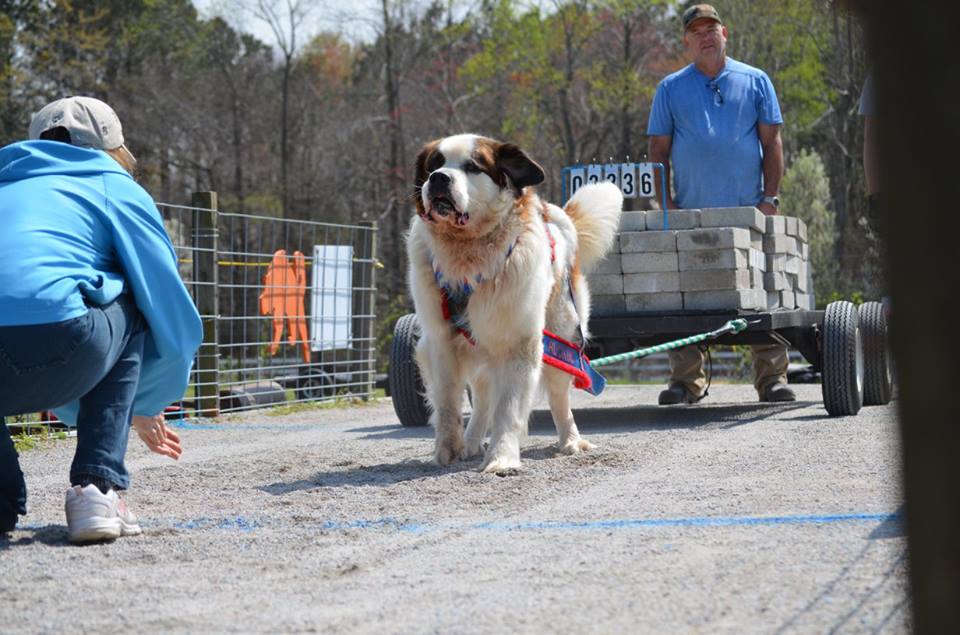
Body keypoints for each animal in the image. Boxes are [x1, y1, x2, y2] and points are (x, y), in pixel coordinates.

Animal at [404, 133, 624, 472]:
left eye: (472, 167)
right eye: (434, 165)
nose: (439, 178)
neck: (467, 251)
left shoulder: (518, 342)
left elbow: (508, 408)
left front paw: (501, 458)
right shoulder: (441, 340)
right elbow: (448, 402)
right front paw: (448, 450)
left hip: (562, 335)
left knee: (559, 395)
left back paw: (571, 440)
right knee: (482, 398)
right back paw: (471, 442)